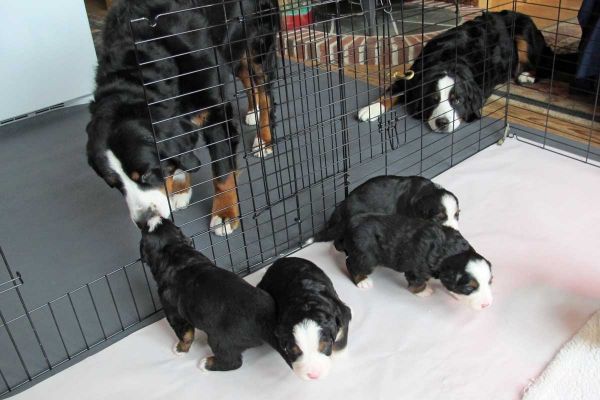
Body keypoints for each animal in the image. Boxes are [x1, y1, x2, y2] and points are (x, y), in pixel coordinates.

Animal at [86, 0, 278, 234]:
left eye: (146, 174)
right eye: (114, 184)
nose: (143, 221)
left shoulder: (215, 113)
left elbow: (222, 173)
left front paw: (224, 214)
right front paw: (179, 190)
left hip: (259, 43)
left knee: (265, 90)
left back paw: (265, 139)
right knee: (247, 79)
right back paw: (252, 111)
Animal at [314, 175, 460, 250]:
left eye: (457, 215)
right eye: (439, 218)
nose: (454, 231)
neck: (425, 193)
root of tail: (342, 207)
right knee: (337, 242)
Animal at [340, 214, 494, 310]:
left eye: (489, 282)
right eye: (469, 288)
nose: (487, 305)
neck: (451, 252)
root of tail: (351, 225)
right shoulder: (416, 269)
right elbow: (417, 283)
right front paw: (424, 292)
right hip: (367, 259)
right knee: (351, 264)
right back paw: (362, 281)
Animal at [358, 10, 556, 133]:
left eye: (457, 100)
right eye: (433, 99)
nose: (442, 123)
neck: (449, 60)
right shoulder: (412, 77)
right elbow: (391, 92)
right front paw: (370, 109)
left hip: (525, 35)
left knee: (546, 67)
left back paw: (527, 76)